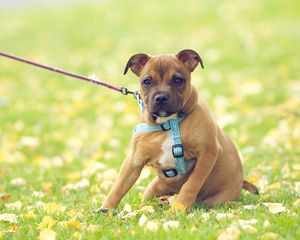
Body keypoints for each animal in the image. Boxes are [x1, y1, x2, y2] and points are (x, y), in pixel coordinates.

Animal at [100, 49, 258, 211]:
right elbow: (119, 186)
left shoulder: (208, 153)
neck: (169, 122)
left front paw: (180, 207)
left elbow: (191, 183)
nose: (161, 97)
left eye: (178, 80)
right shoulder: (134, 160)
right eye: (147, 82)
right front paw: (105, 210)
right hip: (153, 188)